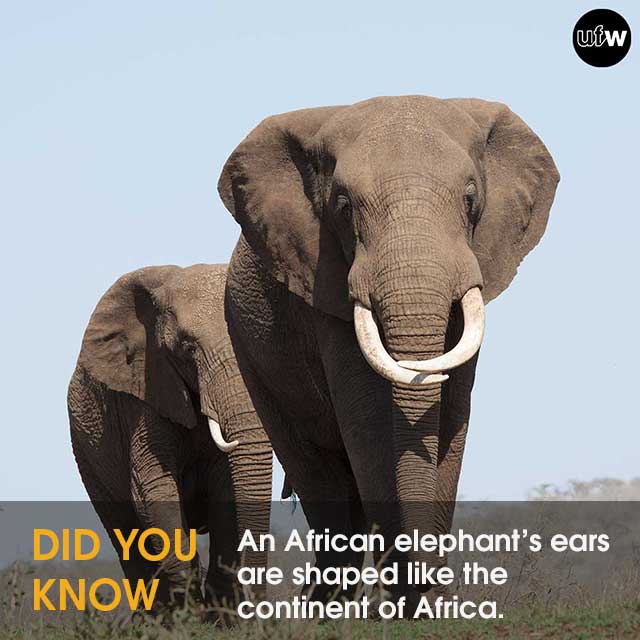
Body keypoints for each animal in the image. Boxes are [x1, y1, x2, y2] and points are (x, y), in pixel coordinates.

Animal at [67, 263, 272, 610]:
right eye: (187, 349)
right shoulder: (145, 390)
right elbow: (153, 486)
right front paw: (189, 607)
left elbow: (225, 491)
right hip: (87, 454)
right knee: (125, 536)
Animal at [218, 95, 559, 608]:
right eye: (342, 207)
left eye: (470, 199)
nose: (425, 581)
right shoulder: (324, 282)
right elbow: (369, 419)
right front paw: (405, 603)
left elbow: (451, 413)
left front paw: (432, 603)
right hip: (250, 353)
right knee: (320, 477)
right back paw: (326, 610)